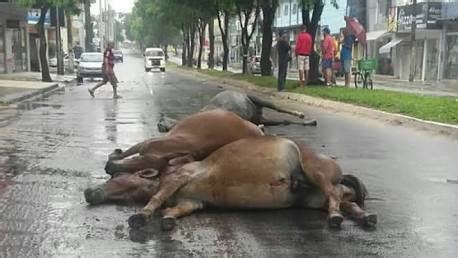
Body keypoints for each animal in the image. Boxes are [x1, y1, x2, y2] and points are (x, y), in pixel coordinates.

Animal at [85, 136, 376, 231]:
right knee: (345, 198)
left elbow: (155, 200)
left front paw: (142, 215)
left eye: (118, 179)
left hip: (315, 172)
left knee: (335, 192)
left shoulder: (180, 178)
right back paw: (365, 216)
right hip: (313, 199)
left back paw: (336, 216)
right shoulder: (192, 201)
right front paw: (167, 218)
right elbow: (176, 210)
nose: (88, 192)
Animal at [102, 108, 262, 176]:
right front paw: (116, 154)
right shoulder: (145, 144)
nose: (109, 168)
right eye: (141, 157)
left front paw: (113, 155)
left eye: (140, 170)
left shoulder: (147, 143)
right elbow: (124, 153)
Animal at [157, 90, 314, 132]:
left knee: (277, 107)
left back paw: (300, 114)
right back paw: (310, 122)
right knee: (284, 121)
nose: (159, 127)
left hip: (255, 99)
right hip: (260, 117)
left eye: (160, 122)